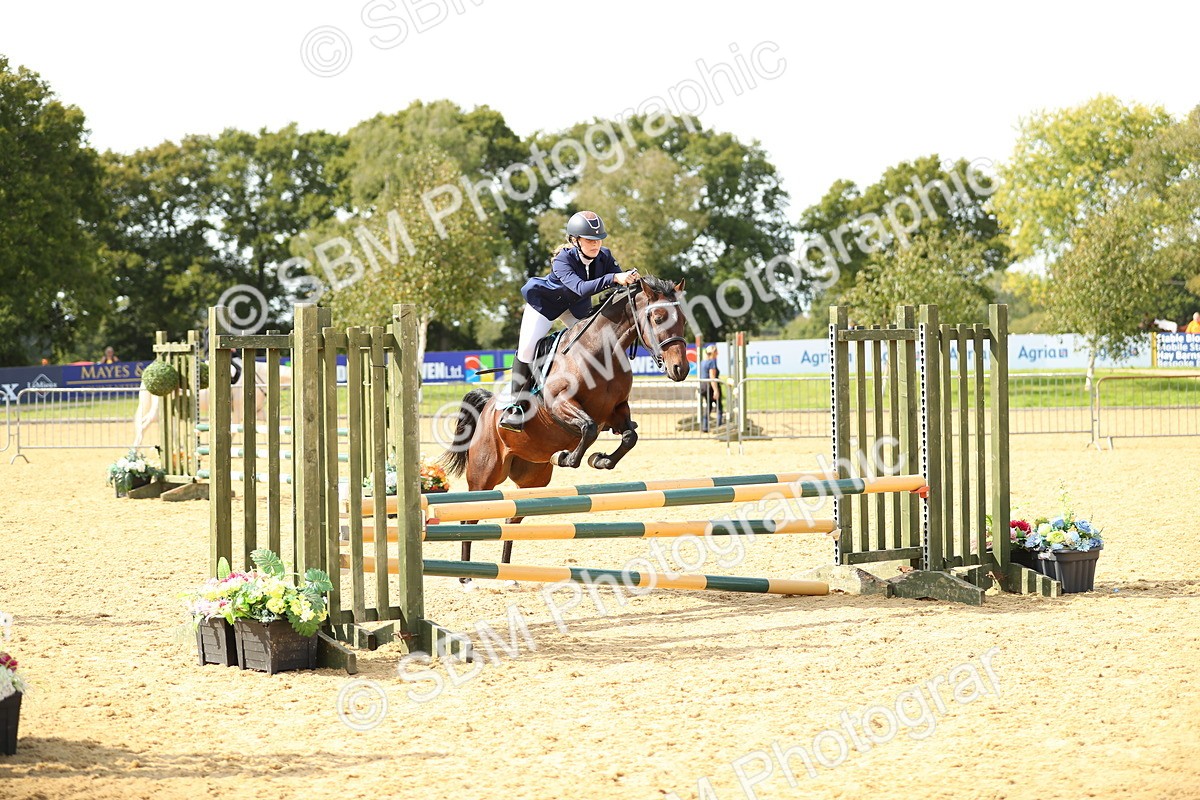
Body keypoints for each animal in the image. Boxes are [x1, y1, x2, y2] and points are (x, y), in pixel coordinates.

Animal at [437, 277, 690, 575]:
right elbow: (588, 428)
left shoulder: (616, 411)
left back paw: (509, 574)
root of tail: (488, 406)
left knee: (512, 520)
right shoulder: (560, 403)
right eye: (658, 317)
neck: (601, 350)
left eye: (683, 320)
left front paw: (600, 460)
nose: (680, 369)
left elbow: (629, 436)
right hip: (485, 472)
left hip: (533, 477)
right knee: (469, 518)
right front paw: (567, 457)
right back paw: (467, 576)